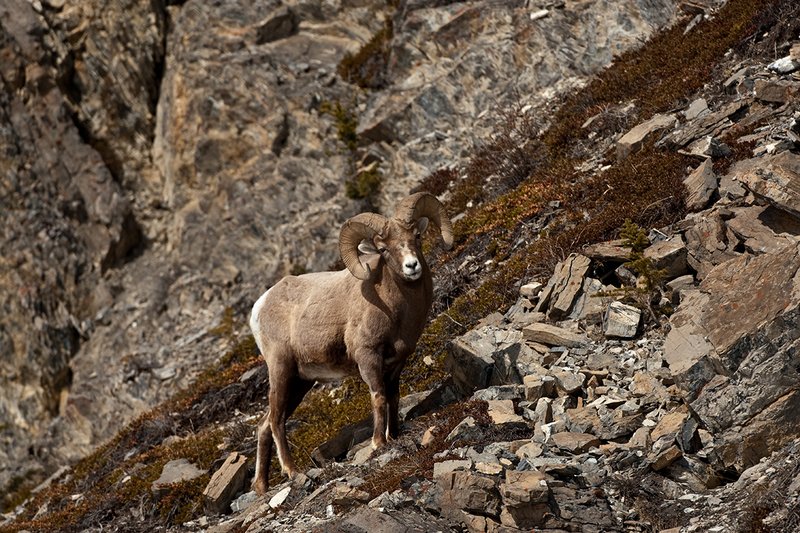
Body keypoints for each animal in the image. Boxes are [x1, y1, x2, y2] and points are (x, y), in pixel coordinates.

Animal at [249, 192, 453, 494]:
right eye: (384, 249)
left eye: (416, 236)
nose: (412, 266)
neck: (396, 308)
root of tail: (260, 307)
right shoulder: (368, 357)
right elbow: (378, 397)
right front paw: (379, 443)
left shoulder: (396, 363)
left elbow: (393, 397)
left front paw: (394, 436)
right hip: (281, 370)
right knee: (275, 422)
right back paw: (292, 471)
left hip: (300, 382)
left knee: (265, 424)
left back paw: (261, 487)